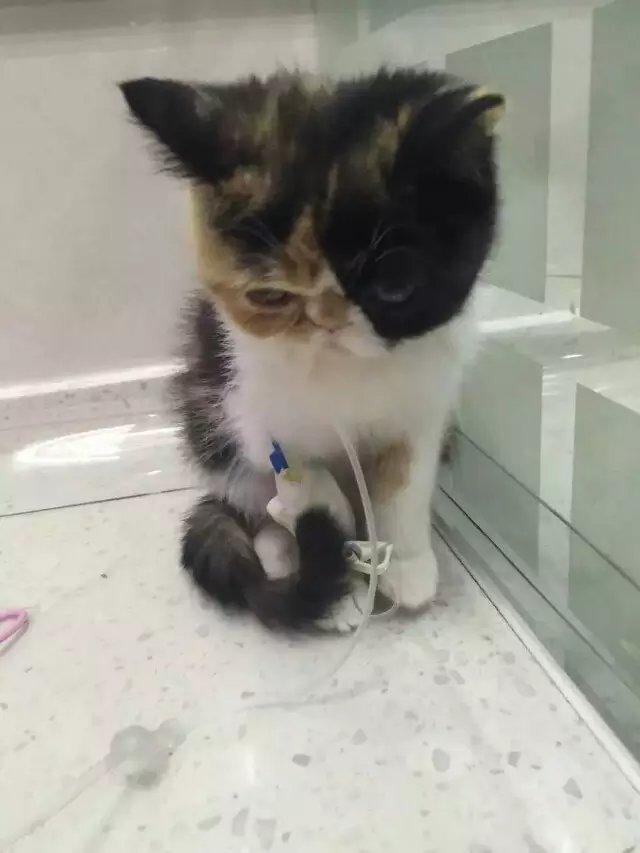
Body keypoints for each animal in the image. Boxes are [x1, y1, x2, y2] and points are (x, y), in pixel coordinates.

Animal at [120, 68, 503, 631]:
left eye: (395, 286)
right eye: (271, 296)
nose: (328, 319)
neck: (347, 373)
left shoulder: (425, 404)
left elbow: (405, 481)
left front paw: (406, 564)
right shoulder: (248, 401)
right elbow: (297, 472)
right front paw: (335, 571)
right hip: (204, 413)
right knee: (253, 500)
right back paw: (287, 555)